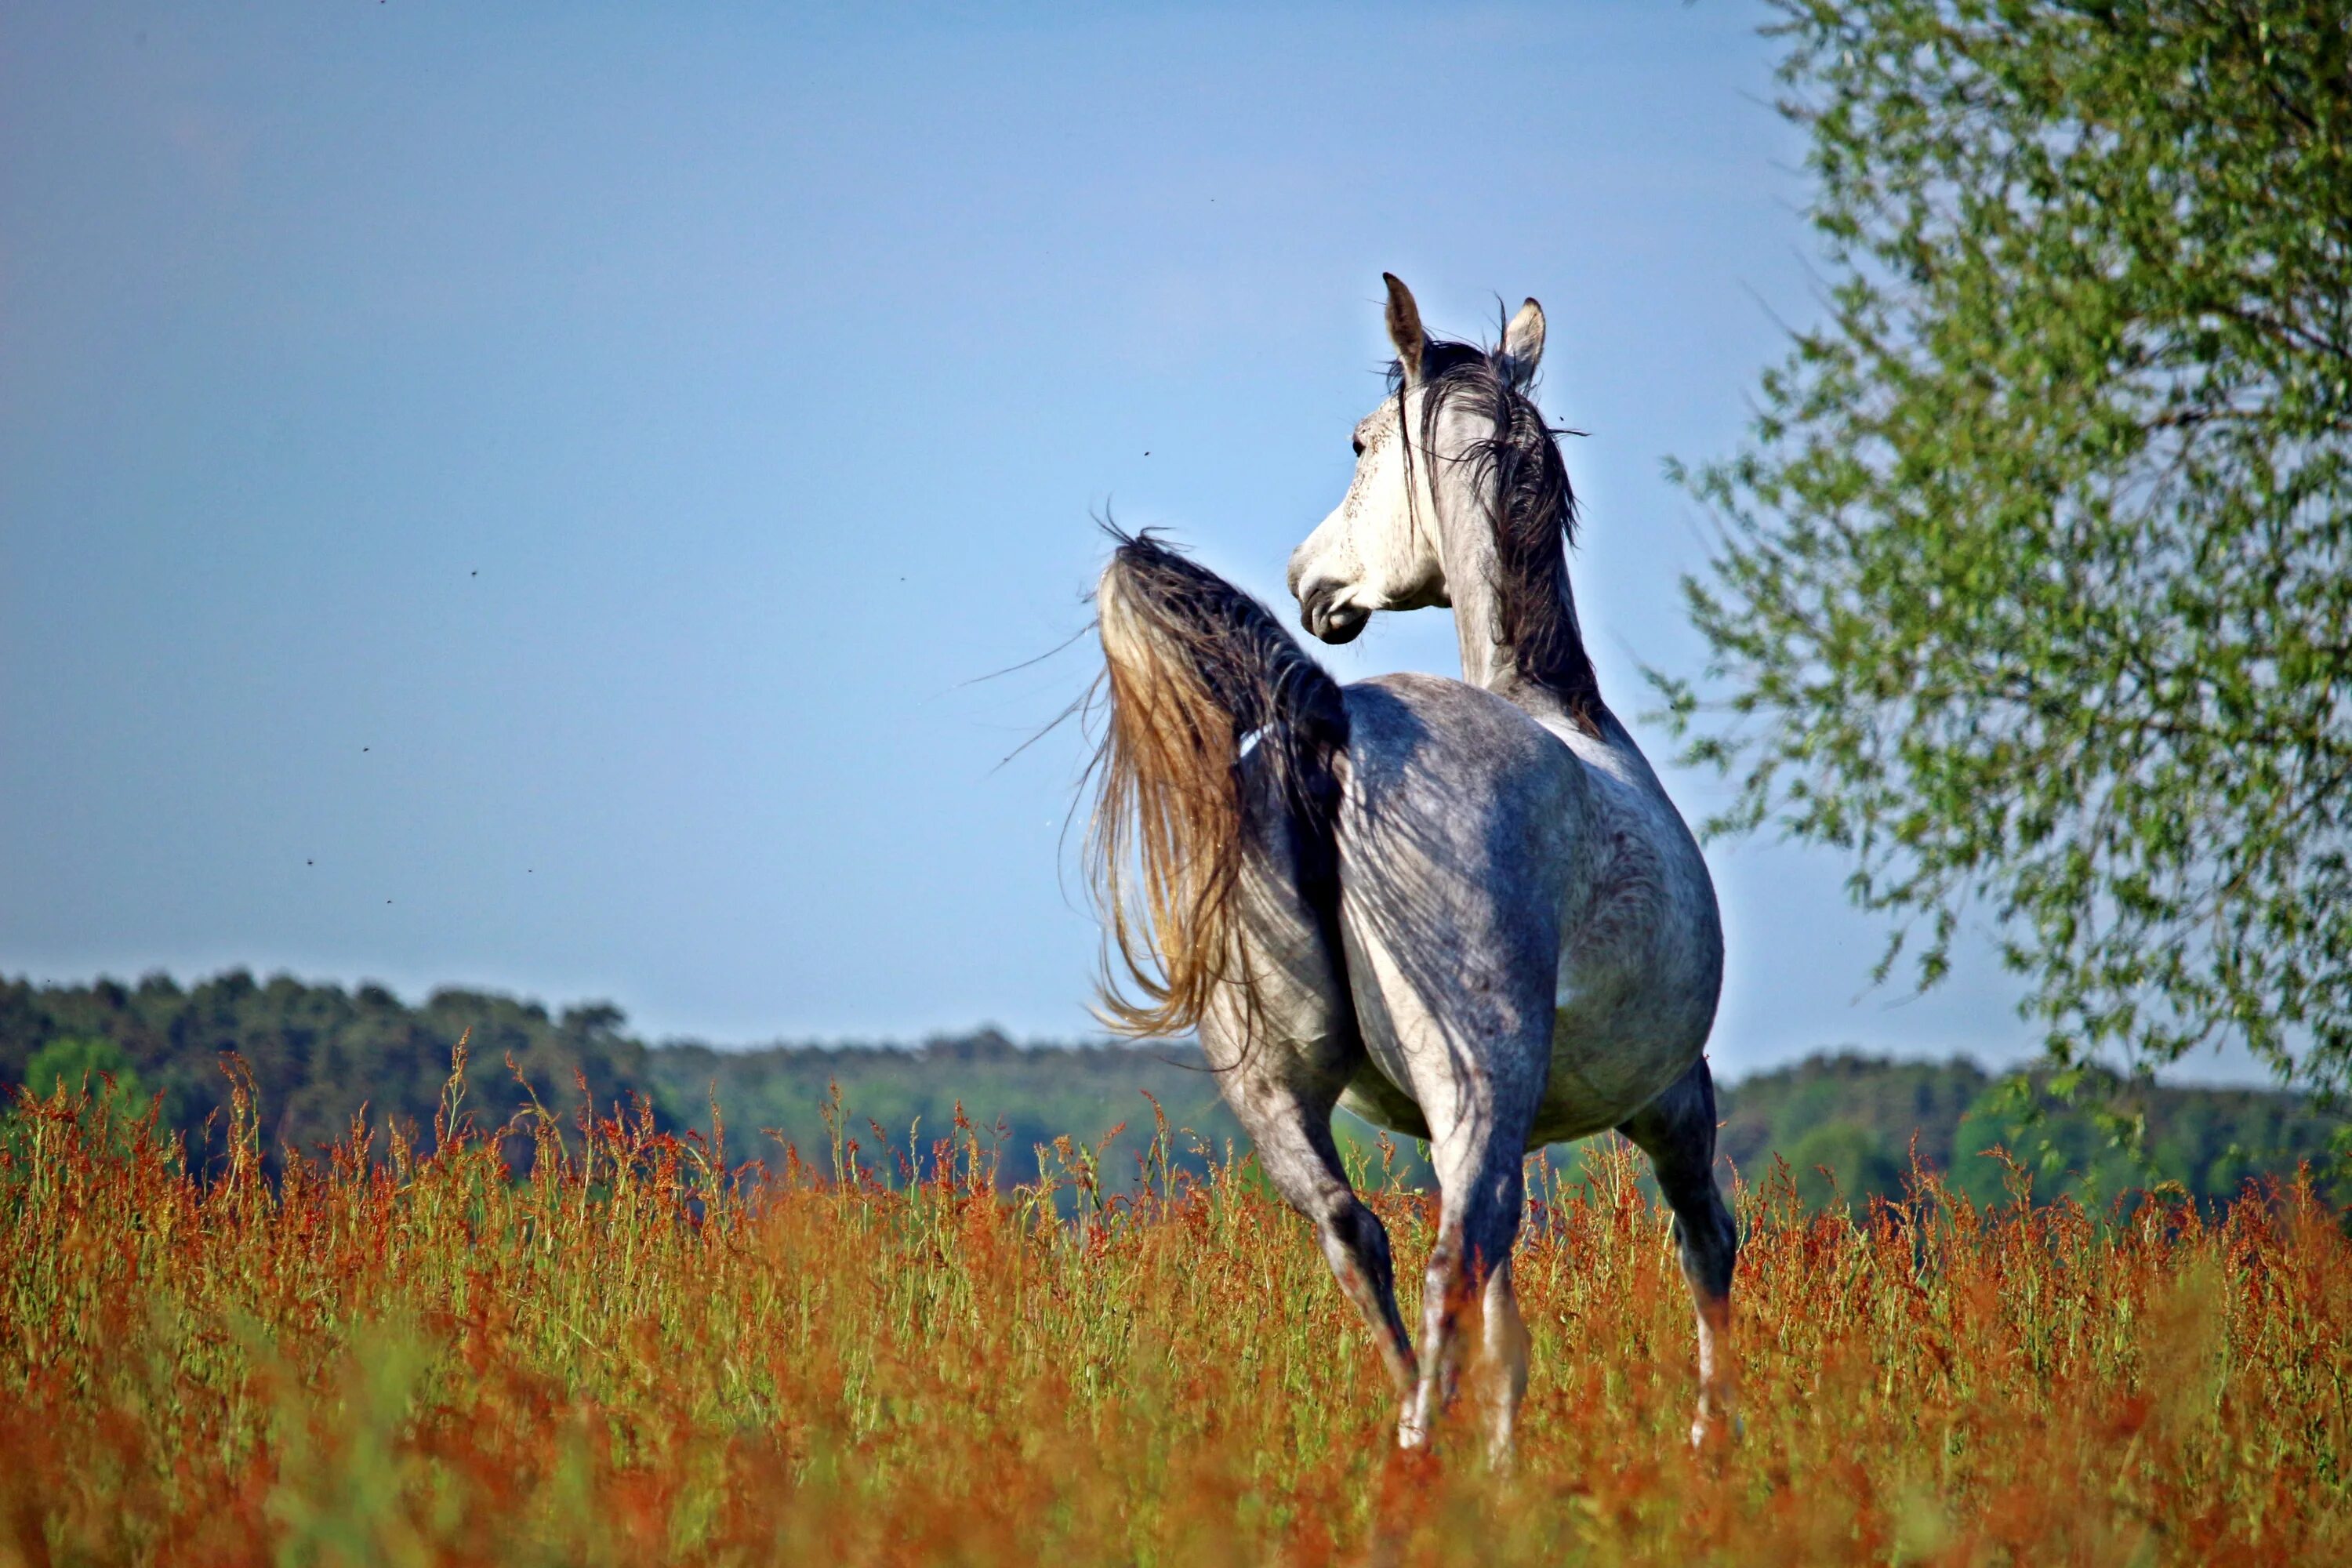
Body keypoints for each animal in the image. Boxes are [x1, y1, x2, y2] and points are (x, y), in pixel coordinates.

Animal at [1082, 272, 1731, 1457]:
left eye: (1358, 442)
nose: (1309, 580)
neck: (1560, 709)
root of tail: (1330, 718)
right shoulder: (1673, 1099)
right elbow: (1705, 1253)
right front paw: (1716, 1443)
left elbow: (1517, 1330)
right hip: (1486, 1094)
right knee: (1450, 1267)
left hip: (1289, 1093)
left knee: (1363, 1241)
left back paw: (1416, 1447)